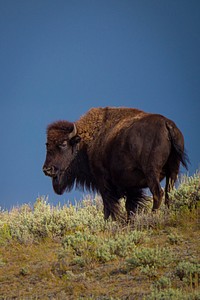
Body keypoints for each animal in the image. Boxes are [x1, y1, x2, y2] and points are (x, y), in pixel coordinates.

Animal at [43, 106, 188, 219]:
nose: (47, 169)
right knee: (169, 192)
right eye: (47, 145)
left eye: (63, 144)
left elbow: (109, 207)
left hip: (152, 172)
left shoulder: (103, 182)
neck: (84, 143)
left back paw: (152, 216)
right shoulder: (131, 187)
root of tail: (167, 124)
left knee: (158, 193)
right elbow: (130, 206)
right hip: (173, 171)